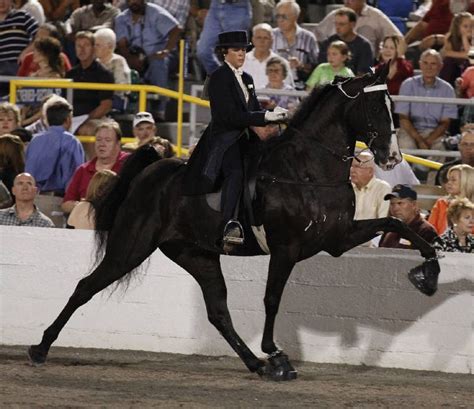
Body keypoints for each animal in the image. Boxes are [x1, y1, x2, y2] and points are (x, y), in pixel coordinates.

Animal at [26, 65, 440, 380]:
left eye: (392, 106)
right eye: (374, 107)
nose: (391, 158)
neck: (308, 171)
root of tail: (153, 169)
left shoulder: (336, 239)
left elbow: (398, 225)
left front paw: (428, 276)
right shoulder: (287, 247)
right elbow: (272, 298)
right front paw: (276, 353)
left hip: (197, 255)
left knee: (218, 312)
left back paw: (255, 364)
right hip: (131, 245)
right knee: (86, 286)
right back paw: (40, 348)